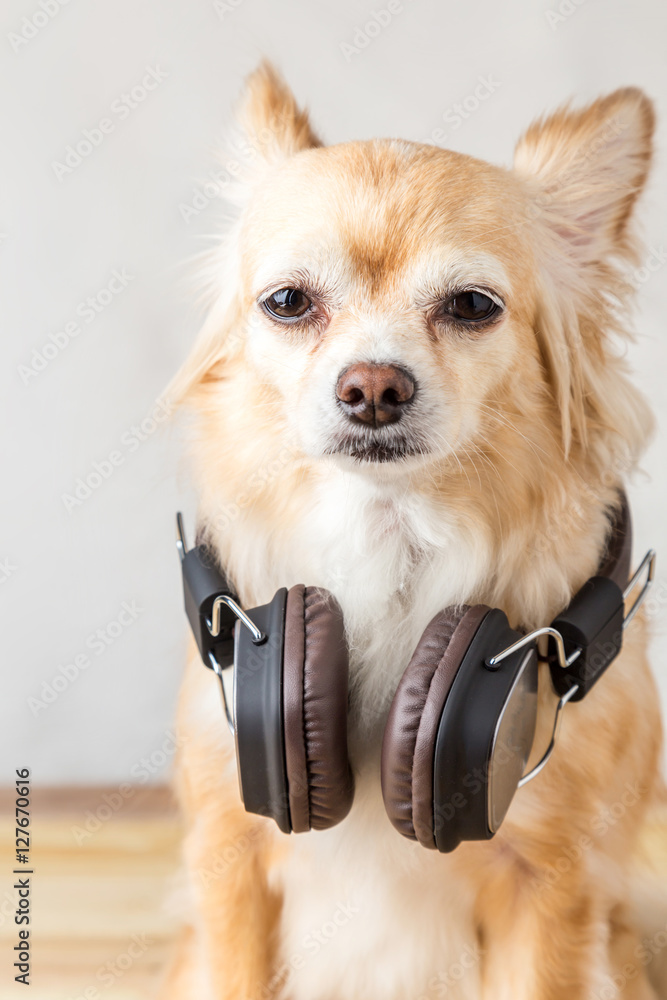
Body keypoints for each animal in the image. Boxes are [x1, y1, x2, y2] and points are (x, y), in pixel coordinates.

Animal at [162, 64, 667, 1000]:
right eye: (287, 303)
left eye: (471, 305)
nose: (371, 386)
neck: (388, 534)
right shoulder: (230, 862)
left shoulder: (550, 886)